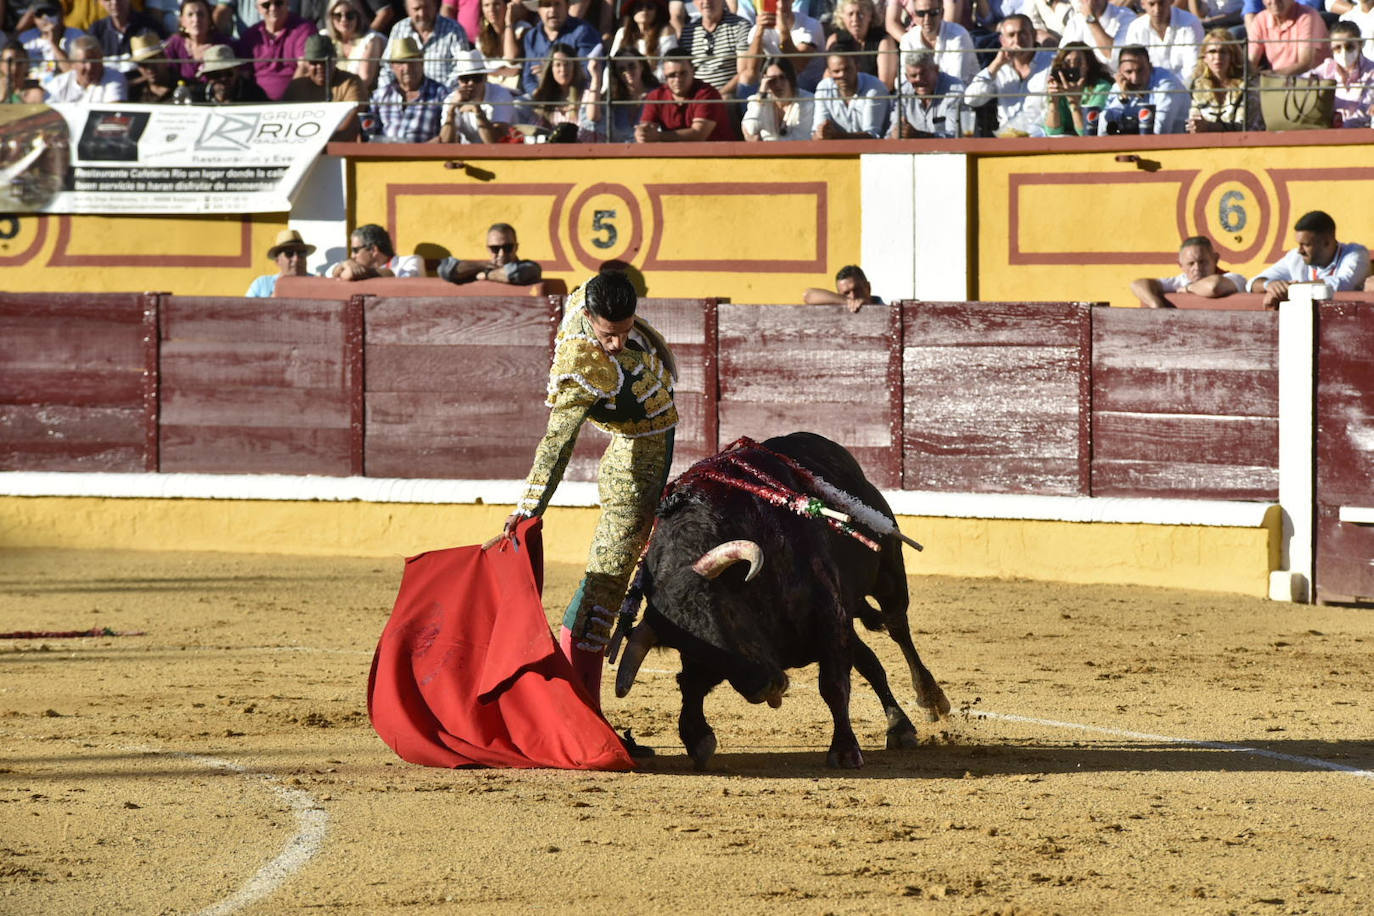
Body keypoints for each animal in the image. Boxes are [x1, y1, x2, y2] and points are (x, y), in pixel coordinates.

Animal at [615, 433, 950, 769]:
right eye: (685, 646)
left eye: (727, 612)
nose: (764, 687)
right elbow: (690, 683)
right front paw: (697, 738)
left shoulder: (829, 615)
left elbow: (833, 685)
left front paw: (844, 750)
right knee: (871, 662)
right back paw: (899, 726)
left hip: (888, 574)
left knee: (898, 628)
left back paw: (931, 698)